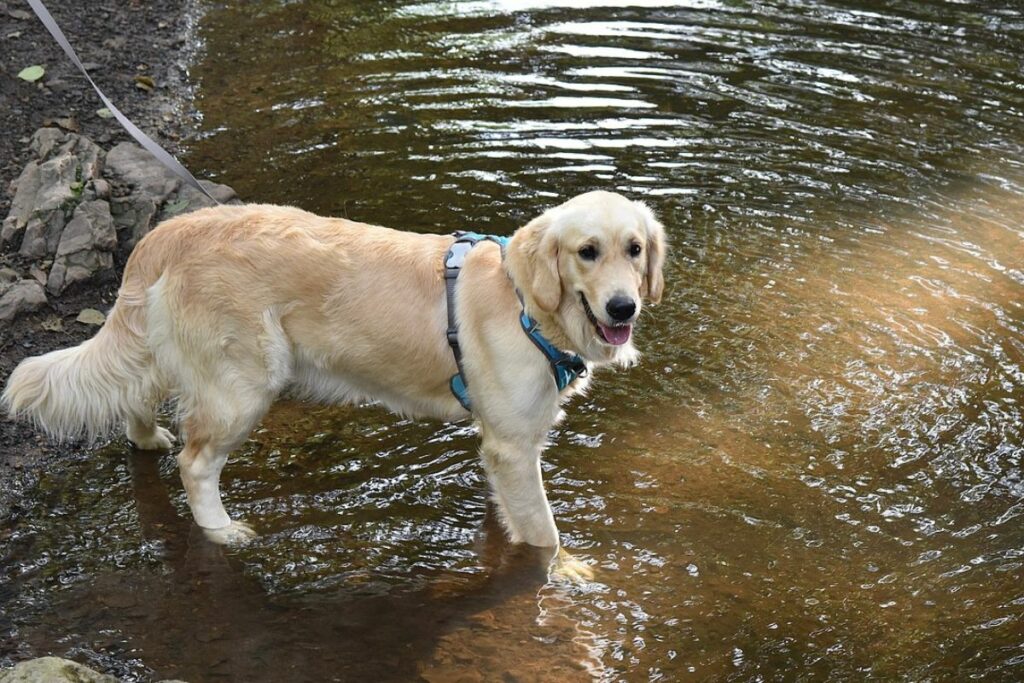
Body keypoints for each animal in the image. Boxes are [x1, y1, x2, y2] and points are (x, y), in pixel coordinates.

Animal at [4, 191, 667, 548]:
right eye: (587, 252)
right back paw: (222, 530)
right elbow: (544, 533)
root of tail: (167, 232)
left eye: (635, 249)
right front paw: (569, 570)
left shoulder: (499, 447)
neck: (527, 301)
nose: (623, 307)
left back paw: (147, 439)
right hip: (242, 385)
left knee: (138, 403)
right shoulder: (513, 444)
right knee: (194, 464)